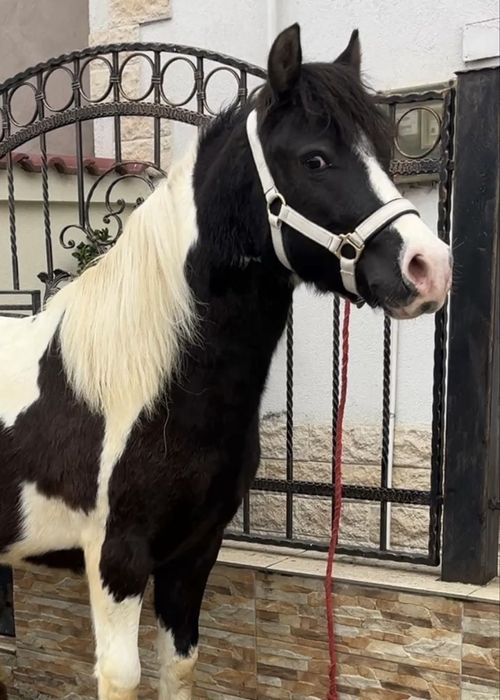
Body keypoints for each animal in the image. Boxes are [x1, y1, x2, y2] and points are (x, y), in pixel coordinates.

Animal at [0, 24, 452, 700]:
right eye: (315, 159)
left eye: (382, 150)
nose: (430, 267)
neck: (145, 385)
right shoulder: (116, 559)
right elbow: (124, 674)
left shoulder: (193, 553)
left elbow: (181, 663)